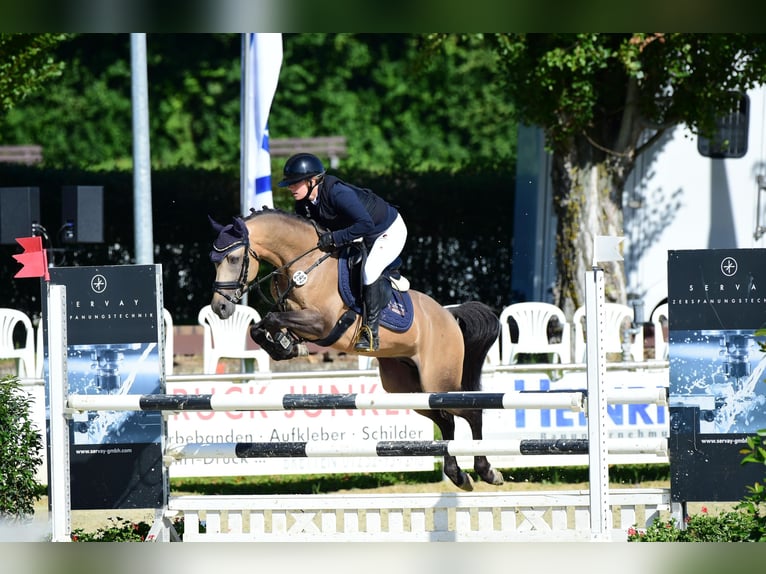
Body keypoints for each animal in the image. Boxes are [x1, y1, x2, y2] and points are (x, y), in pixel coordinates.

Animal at [208, 209, 504, 492]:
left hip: (439, 380)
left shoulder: (322, 323)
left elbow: (271, 319)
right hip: (408, 387)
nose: (220, 308)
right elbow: (260, 327)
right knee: (445, 420)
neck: (304, 267)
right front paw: (285, 347)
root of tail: (449, 315)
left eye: (233, 259)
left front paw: (285, 345)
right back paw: (458, 476)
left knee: (470, 411)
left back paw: (487, 471)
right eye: (215, 261)